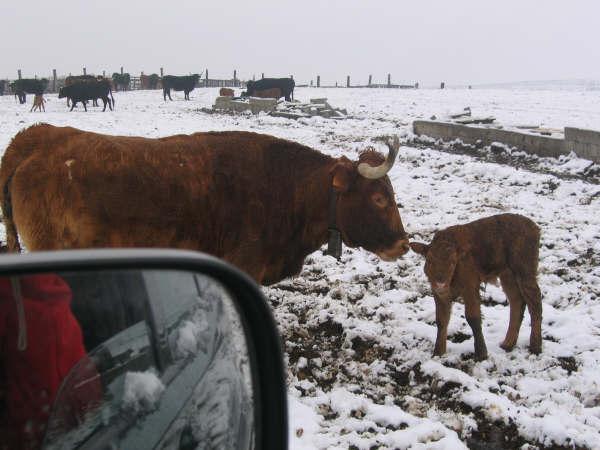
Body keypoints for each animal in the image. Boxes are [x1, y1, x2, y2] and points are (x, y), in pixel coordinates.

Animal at [410, 213, 540, 360]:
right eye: (430, 260)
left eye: (453, 262)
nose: (440, 283)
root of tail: (534, 227)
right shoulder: (438, 294)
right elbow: (441, 319)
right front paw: (438, 352)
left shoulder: (470, 286)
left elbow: (473, 317)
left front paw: (481, 354)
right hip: (507, 274)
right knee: (516, 301)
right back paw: (507, 344)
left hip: (525, 271)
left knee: (535, 302)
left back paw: (535, 347)